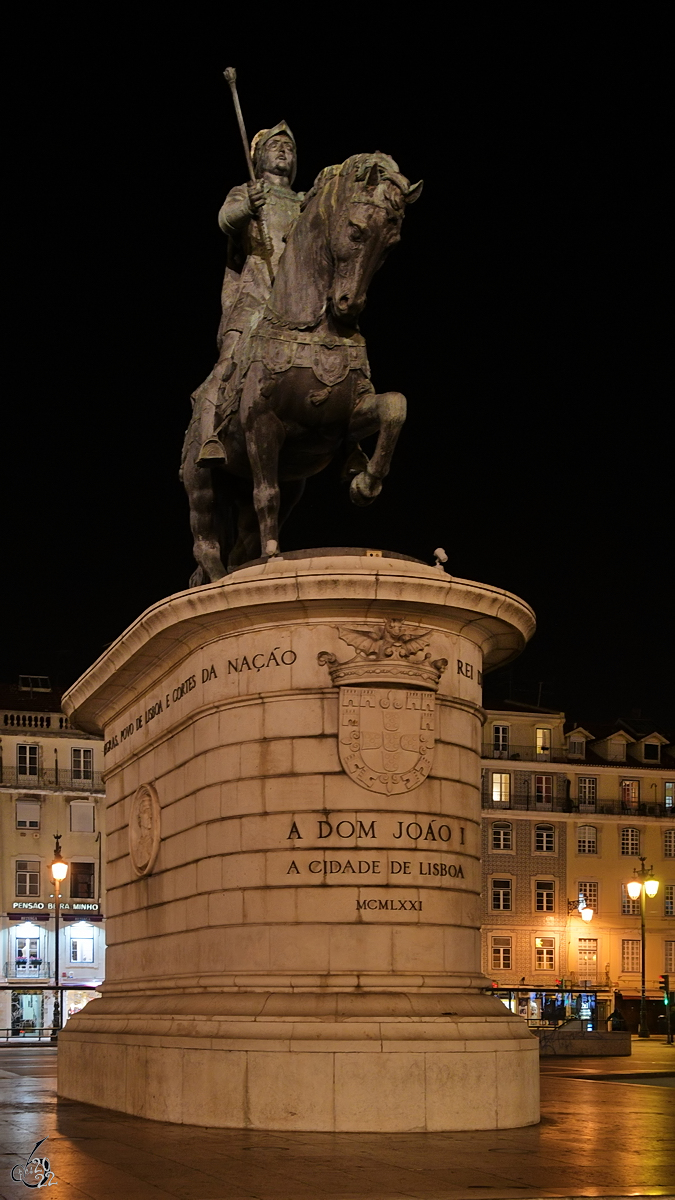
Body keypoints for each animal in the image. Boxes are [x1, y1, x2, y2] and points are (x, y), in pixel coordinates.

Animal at [181, 152, 417, 583]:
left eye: (390, 245)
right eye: (356, 231)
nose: (348, 305)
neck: (312, 326)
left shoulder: (347, 419)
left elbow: (395, 406)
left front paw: (365, 484)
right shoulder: (261, 424)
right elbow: (266, 494)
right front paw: (274, 557)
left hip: (282, 486)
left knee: (241, 543)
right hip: (202, 482)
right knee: (207, 543)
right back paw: (225, 577)